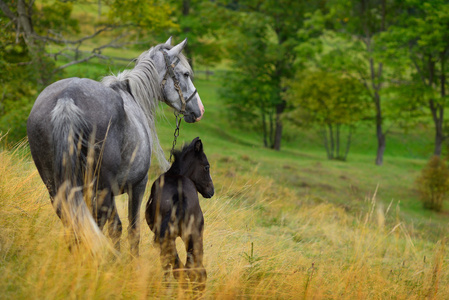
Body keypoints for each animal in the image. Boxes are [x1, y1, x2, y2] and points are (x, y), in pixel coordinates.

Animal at [27, 37, 203, 255]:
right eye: (185, 74)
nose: (199, 109)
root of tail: (66, 98)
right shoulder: (138, 186)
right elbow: (132, 229)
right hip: (103, 189)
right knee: (107, 225)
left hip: (56, 185)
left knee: (73, 222)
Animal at [144, 137, 213, 290]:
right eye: (206, 167)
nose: (211, 191)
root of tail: (180, 197)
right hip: (195, 236)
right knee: (197, 270)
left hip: (168, 236)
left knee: (173, 264)